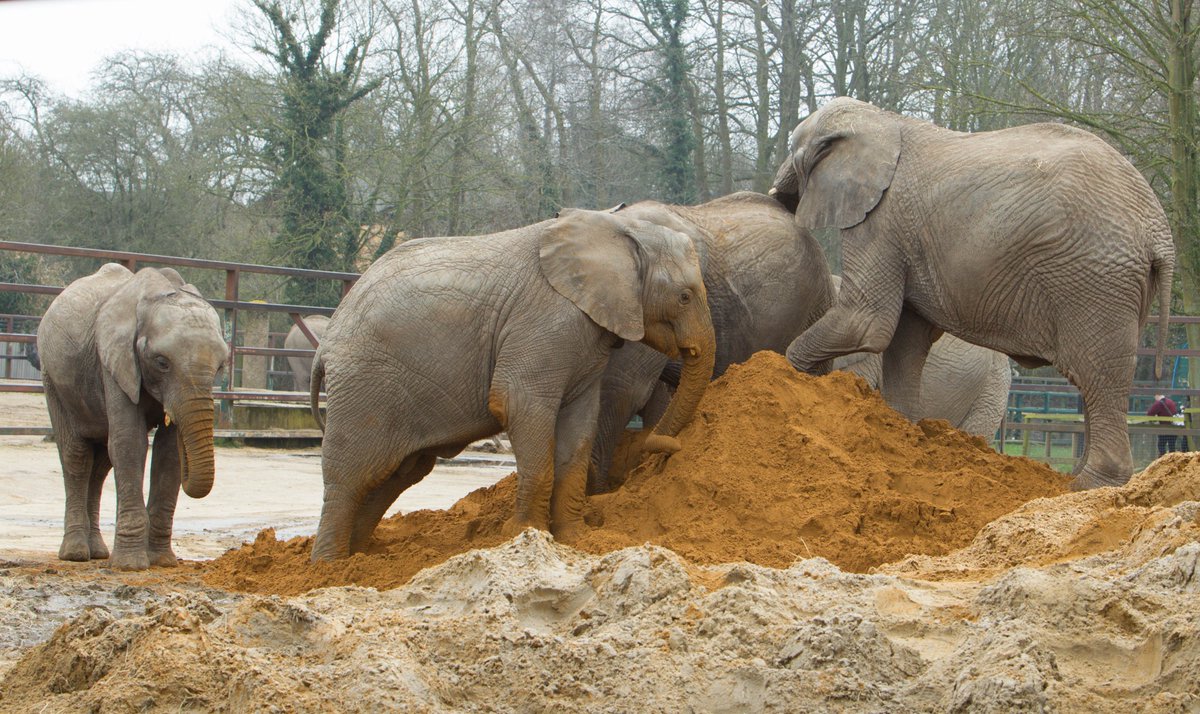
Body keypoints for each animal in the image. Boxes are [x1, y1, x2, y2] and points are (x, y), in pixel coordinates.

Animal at [36, 264, 229, 570]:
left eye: (221, 365)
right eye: (161, 362)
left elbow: (168, 454)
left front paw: (162, 562)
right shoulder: (115, 361)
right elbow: (130, 443)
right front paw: (130, 566)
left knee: (101, 462)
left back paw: (98, 552)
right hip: (52, 378)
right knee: (77, 456)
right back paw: (76, 554)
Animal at [308, 209, 716, 561]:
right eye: (684, 296)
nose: (668, 448)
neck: (619, 230)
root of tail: (324, 345)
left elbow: (579, 426)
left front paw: (575, 538)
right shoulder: (544, 323)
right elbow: (519, 403)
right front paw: (528, 535)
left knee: (396, 475)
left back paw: (357, 558)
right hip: (364, 383)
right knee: (352, 476)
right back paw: (329, 568)